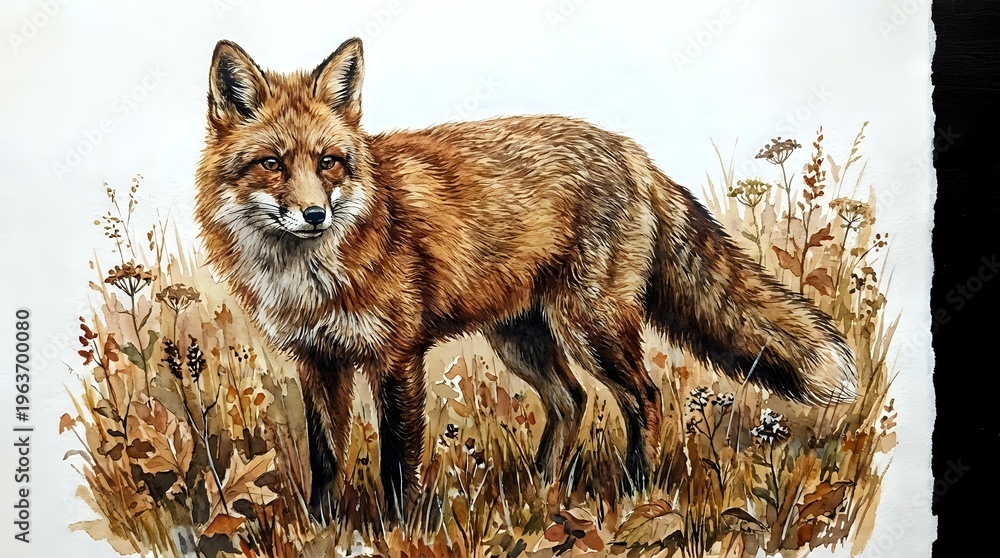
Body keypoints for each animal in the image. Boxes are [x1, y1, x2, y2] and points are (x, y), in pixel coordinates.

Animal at [195, 38, 857, 523]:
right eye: (272, 164)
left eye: (329, 162)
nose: (314, 214)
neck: (311, 277)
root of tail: (633, 152)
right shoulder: (317, 361)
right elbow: (327, 458)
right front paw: (322, 528)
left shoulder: (397, 358)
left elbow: (396, 461)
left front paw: (398, 531)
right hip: (522, 339)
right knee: (573, 400)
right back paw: (541, 492)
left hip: (590, 327)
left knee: (643, 397)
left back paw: (634, 493)